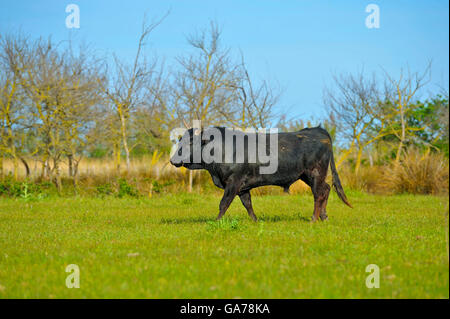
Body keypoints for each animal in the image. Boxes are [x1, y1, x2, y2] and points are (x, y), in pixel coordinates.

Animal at [169, 126, 352, 221]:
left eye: (190, 142)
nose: (172, 160)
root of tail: (317, 130)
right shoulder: (242, 187)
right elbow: (248, 204)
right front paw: (255, 221)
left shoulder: (234, 181)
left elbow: (224, 203)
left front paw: (217, 222)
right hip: (308, 176)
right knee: (326, 189)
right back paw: (324, 216)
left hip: (315, 173)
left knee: (319, 194)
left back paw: (314, 218)